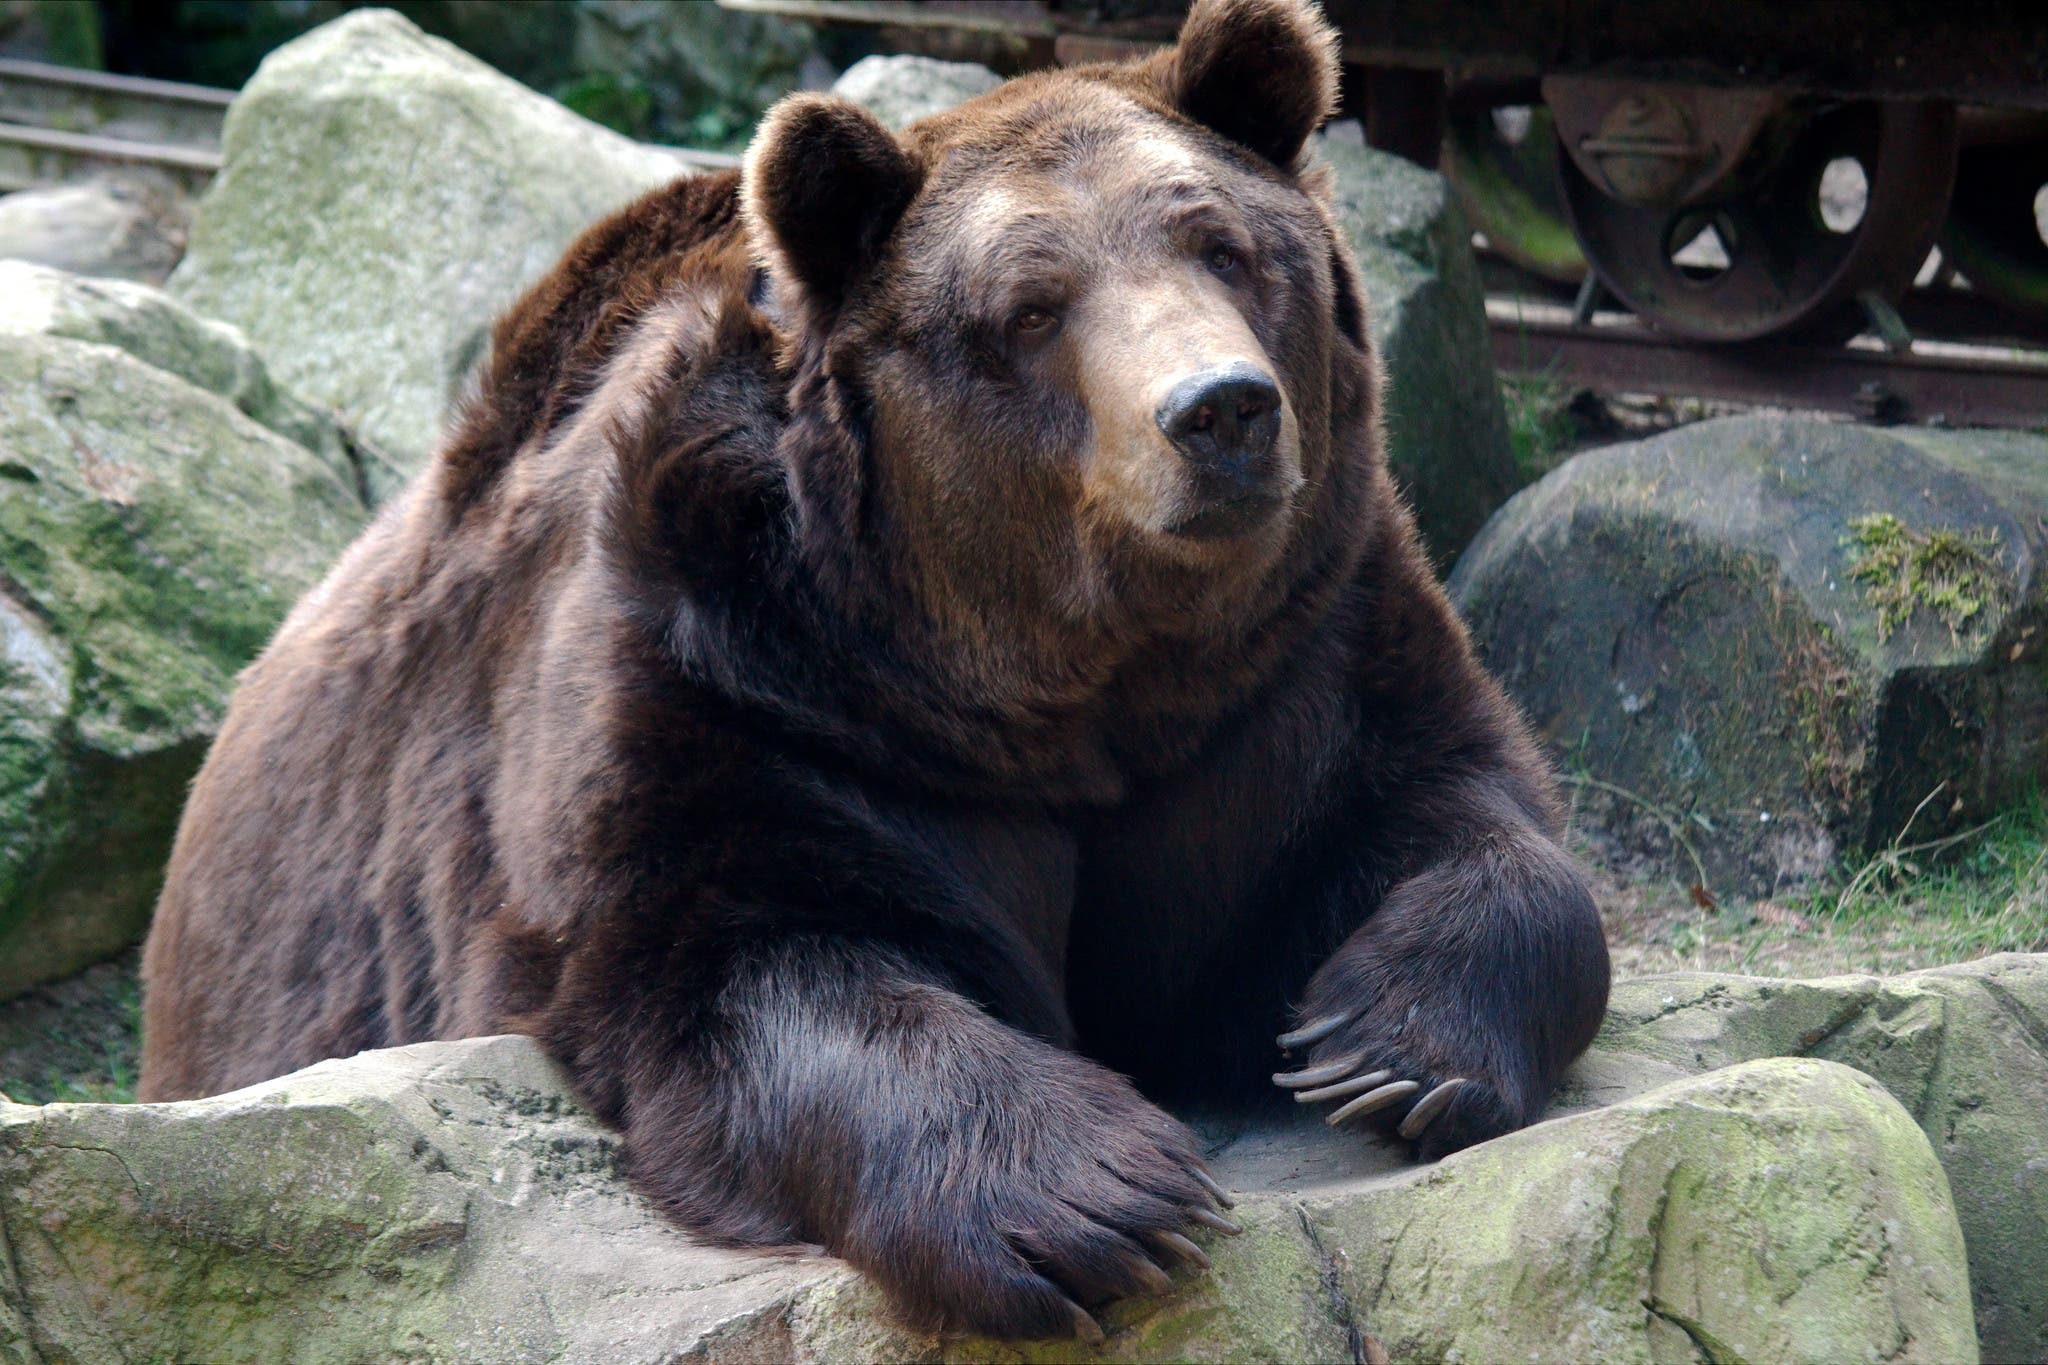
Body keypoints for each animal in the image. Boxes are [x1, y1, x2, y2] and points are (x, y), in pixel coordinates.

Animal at [139, 0, 1610, 1341]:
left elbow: (1469, 815)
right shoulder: (744, 688)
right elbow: (740, 955)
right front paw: (1093, 1198)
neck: (1054, 681)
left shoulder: (1297, 657)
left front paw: (1383, 1043)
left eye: (1226, 246)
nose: (1220, 409)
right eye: (1031, 306)